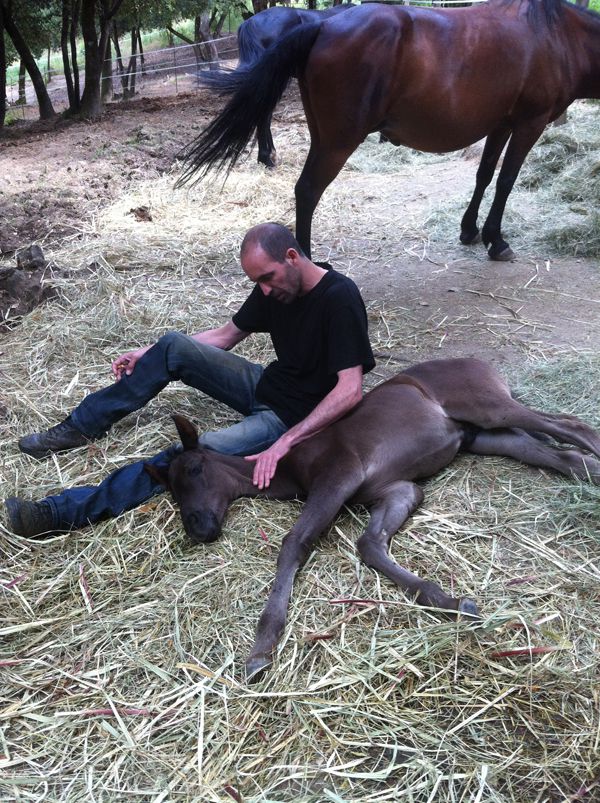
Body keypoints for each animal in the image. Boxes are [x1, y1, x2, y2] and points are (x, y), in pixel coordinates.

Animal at [146, 357, 600, 681]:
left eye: (195, 470)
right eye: (172, 491)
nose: (199, 528)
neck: (291, 466)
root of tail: (480, 362)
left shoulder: (339, 474)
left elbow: (294, 543)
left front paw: (262, 646)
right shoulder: (398, 489)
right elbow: (369, 543)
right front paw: (451, 601)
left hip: (488, 408)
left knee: (571, 426)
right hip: (485, 436)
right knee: (559, 454)